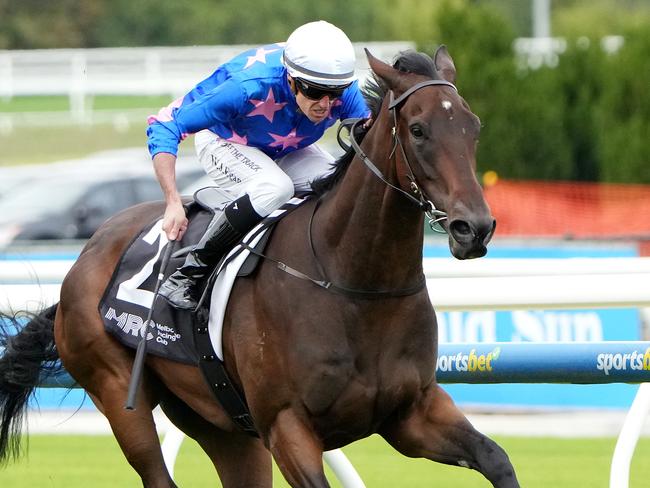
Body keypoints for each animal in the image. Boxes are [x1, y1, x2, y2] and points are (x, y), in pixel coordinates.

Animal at [0, 46, 516, 488]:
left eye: (473, 126)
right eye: (419, 129)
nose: (475, 228)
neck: (354, 285)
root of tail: (82, 262)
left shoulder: (412, 413)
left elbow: (496, 459)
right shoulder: (287, 427)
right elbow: (169, 123)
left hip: (220, 422)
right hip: (118, 391)